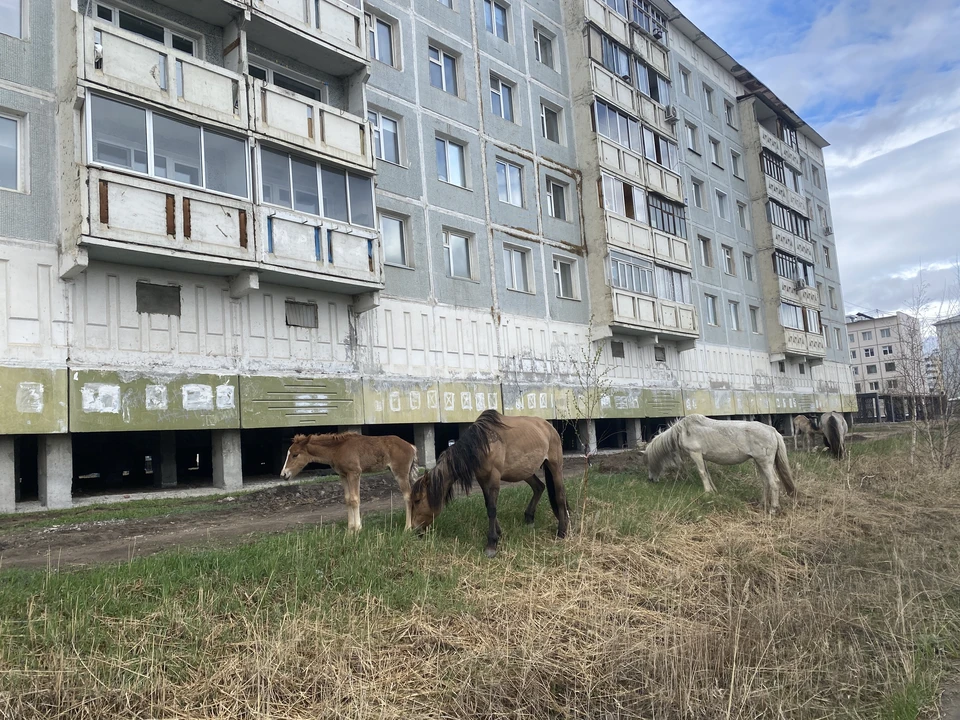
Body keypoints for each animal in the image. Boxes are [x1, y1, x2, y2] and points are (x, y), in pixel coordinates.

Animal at [280, 430, 418, 532]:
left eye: (295, 455)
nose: (283, 474)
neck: (337, 449)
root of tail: (411, 446)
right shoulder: (343, 475)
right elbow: (347, 499)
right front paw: (350, 529)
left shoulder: (354, 473)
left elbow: (354, 499)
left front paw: (358, 528)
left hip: (400, 473)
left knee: (407, 496)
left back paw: (408, 527)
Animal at [406, 410, 568, 556]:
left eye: (418, 500)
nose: (414, 529)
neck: (482, 444)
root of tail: (549, 427)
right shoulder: (482, 479)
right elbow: (488, 504)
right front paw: (499, 533)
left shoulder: (494, 477)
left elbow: (492, 508)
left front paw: (491, 544)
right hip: (525, 471)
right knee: (539, 487)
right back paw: (529, 518)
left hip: (555, 466)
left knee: (560, 495)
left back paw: (562, 530)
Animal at [644, 414, 796, 516]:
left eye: (649, 463)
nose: (650, 479)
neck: (684, 430)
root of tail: (773, 431)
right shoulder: (702, 457)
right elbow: (707, 474)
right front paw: (713, 491)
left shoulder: (696, 454)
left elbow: (702, 473)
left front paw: (707, 493)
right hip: (759, 462)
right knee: (765, 482)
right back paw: (761, 504)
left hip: (765, 462)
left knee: (774, 482)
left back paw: (773, 509)